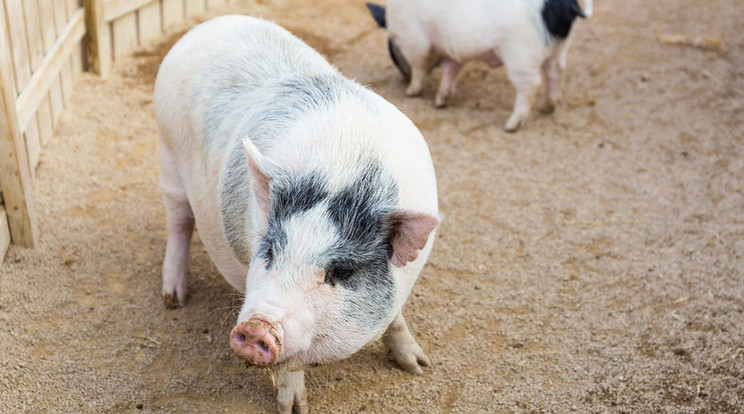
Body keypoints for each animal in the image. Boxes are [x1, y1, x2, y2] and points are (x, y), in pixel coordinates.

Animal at [366, 0, 592, 131]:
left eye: (391, 47)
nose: (402, 78)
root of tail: (566, 6)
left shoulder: (414, 40)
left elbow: (419, 66)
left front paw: (411, 92)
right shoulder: (454, 52)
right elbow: (450, 71)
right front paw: (439, 102)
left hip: (521, 53)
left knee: (532, 84)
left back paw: (511, 126)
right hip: (559, 48)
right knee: (557, 72)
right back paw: (548, 108)